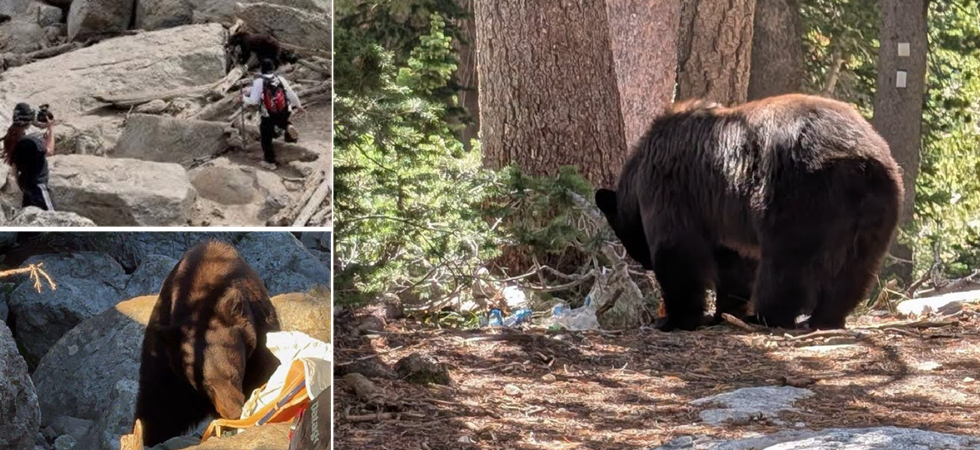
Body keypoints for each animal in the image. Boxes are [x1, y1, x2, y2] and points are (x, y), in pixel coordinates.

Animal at [134, 241, 281, 446]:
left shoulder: (259, 338)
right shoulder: (167, 359)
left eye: (234, 374)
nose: (232, 412)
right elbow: (159, 403)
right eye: (206, 385)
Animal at [595, 94, 903, 332]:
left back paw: (766, 316)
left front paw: (675, 319)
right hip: (878, 208)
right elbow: (734, 264)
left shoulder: (670, 190)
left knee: (785, 264)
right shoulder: (722, 218)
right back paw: (825, 318)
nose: (644, 264)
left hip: (798, 196)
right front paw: (723, 313)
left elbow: (678, 252)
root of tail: (859, 159)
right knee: (855, 268)